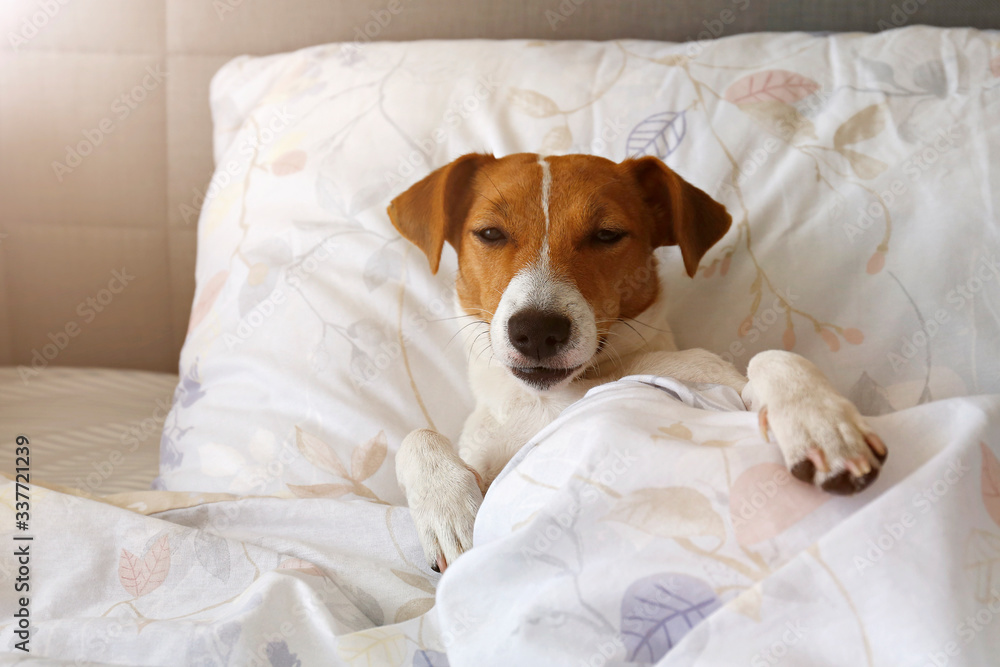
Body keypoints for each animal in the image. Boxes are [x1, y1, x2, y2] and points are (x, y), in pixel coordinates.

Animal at [386, 153, 888, 576]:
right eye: (490, 233)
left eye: (607, 234)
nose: (537, 329)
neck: (557, 396)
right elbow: (417, 436)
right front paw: (449, 510)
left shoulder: (713, 386)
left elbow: (770, 360)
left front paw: (819, 421)